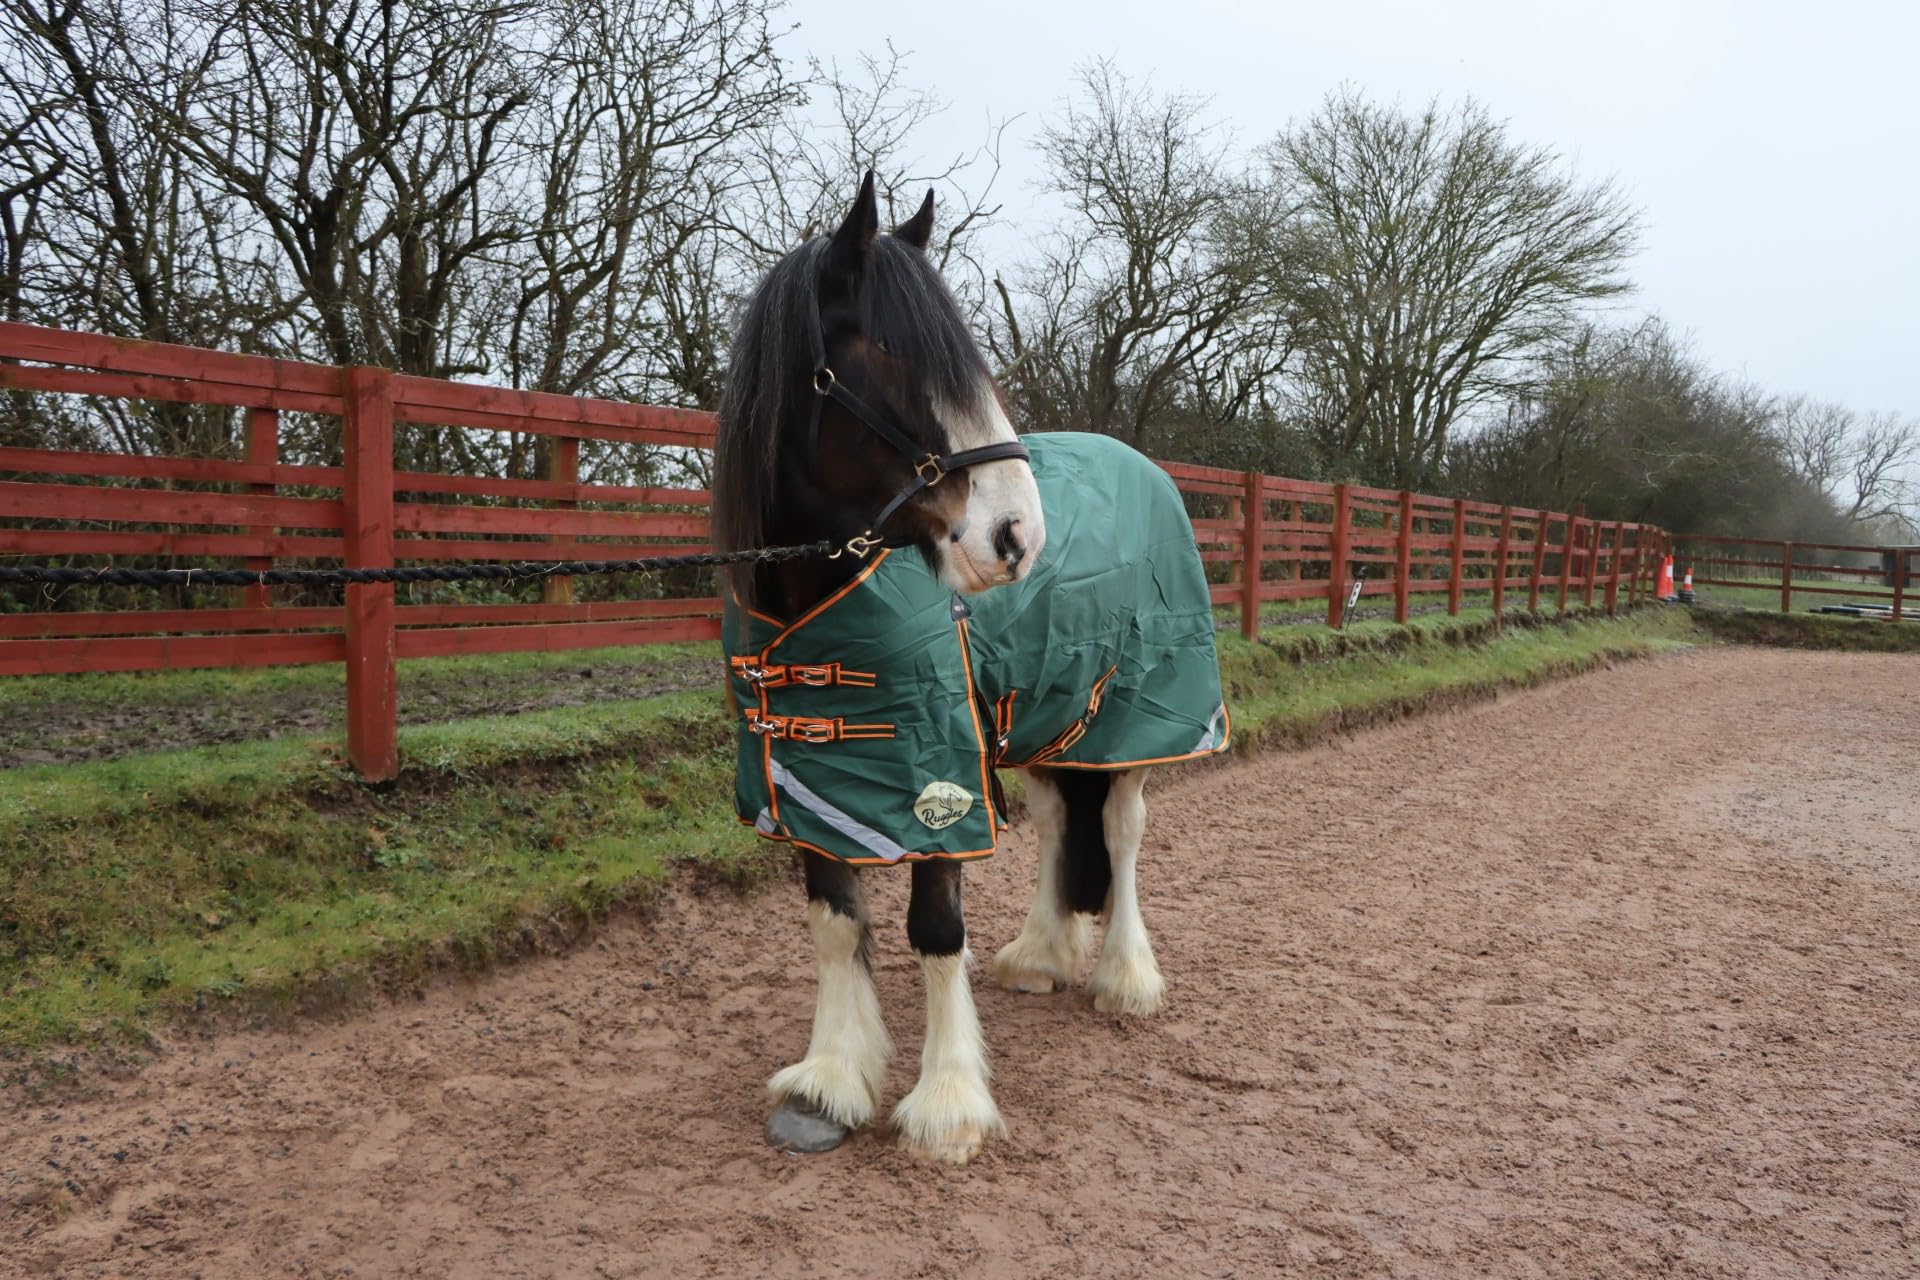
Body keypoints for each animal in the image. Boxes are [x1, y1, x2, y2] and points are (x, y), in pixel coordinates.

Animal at [711, 173, 1227, 1166]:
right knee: (1061, 821)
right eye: (885, 351)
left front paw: (948, 1102)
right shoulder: (802, 775)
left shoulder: (935, 779)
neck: (812, 605)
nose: (1016, 535)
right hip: (1044, 720)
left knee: (1121, 832)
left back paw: (1124, 977)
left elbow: (935, 927)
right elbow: (834, 922)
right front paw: (832, 1080)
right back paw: (1040, 955)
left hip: (1137, 720)